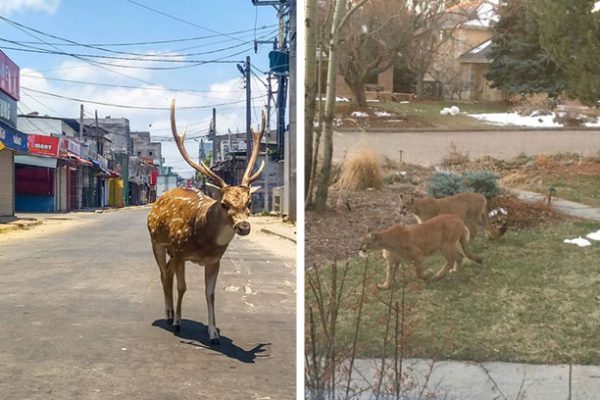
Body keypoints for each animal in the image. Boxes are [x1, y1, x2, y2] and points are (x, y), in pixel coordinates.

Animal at [146, 99, 264, 344]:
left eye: (249, 202)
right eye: (224, 204)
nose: (243, 226)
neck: (202, 241)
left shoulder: (214, 260)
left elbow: (210, 294)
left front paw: (213, 333)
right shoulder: (181, 251)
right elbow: (182, 287)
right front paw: (178, 323)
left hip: (170, 251)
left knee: (167, 272)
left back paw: (171, 313)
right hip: (157, 242)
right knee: (164, 274)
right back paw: (168, 314)